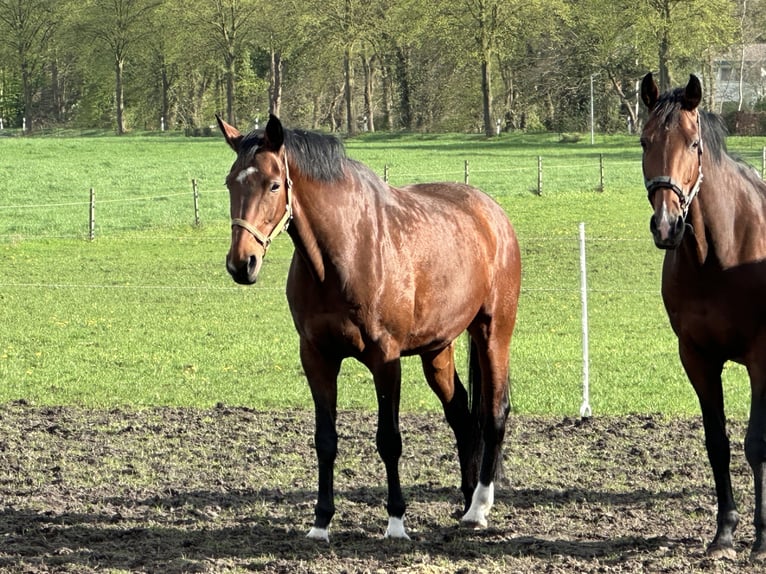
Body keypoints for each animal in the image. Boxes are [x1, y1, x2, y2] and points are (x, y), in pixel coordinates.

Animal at [219, 115, 524, 544]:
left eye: (274, 184)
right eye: (231, 182)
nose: (241, 263)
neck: (345, 253)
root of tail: (492, 213)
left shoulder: (386, 359)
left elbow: (389, 440)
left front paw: (396, 521)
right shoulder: (317, 357)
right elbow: (325, 441)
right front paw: (321, 521)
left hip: (493, 333)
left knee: (494, 414)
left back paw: (479, 507)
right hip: (437, 350)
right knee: (462, 415)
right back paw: (465, 502)